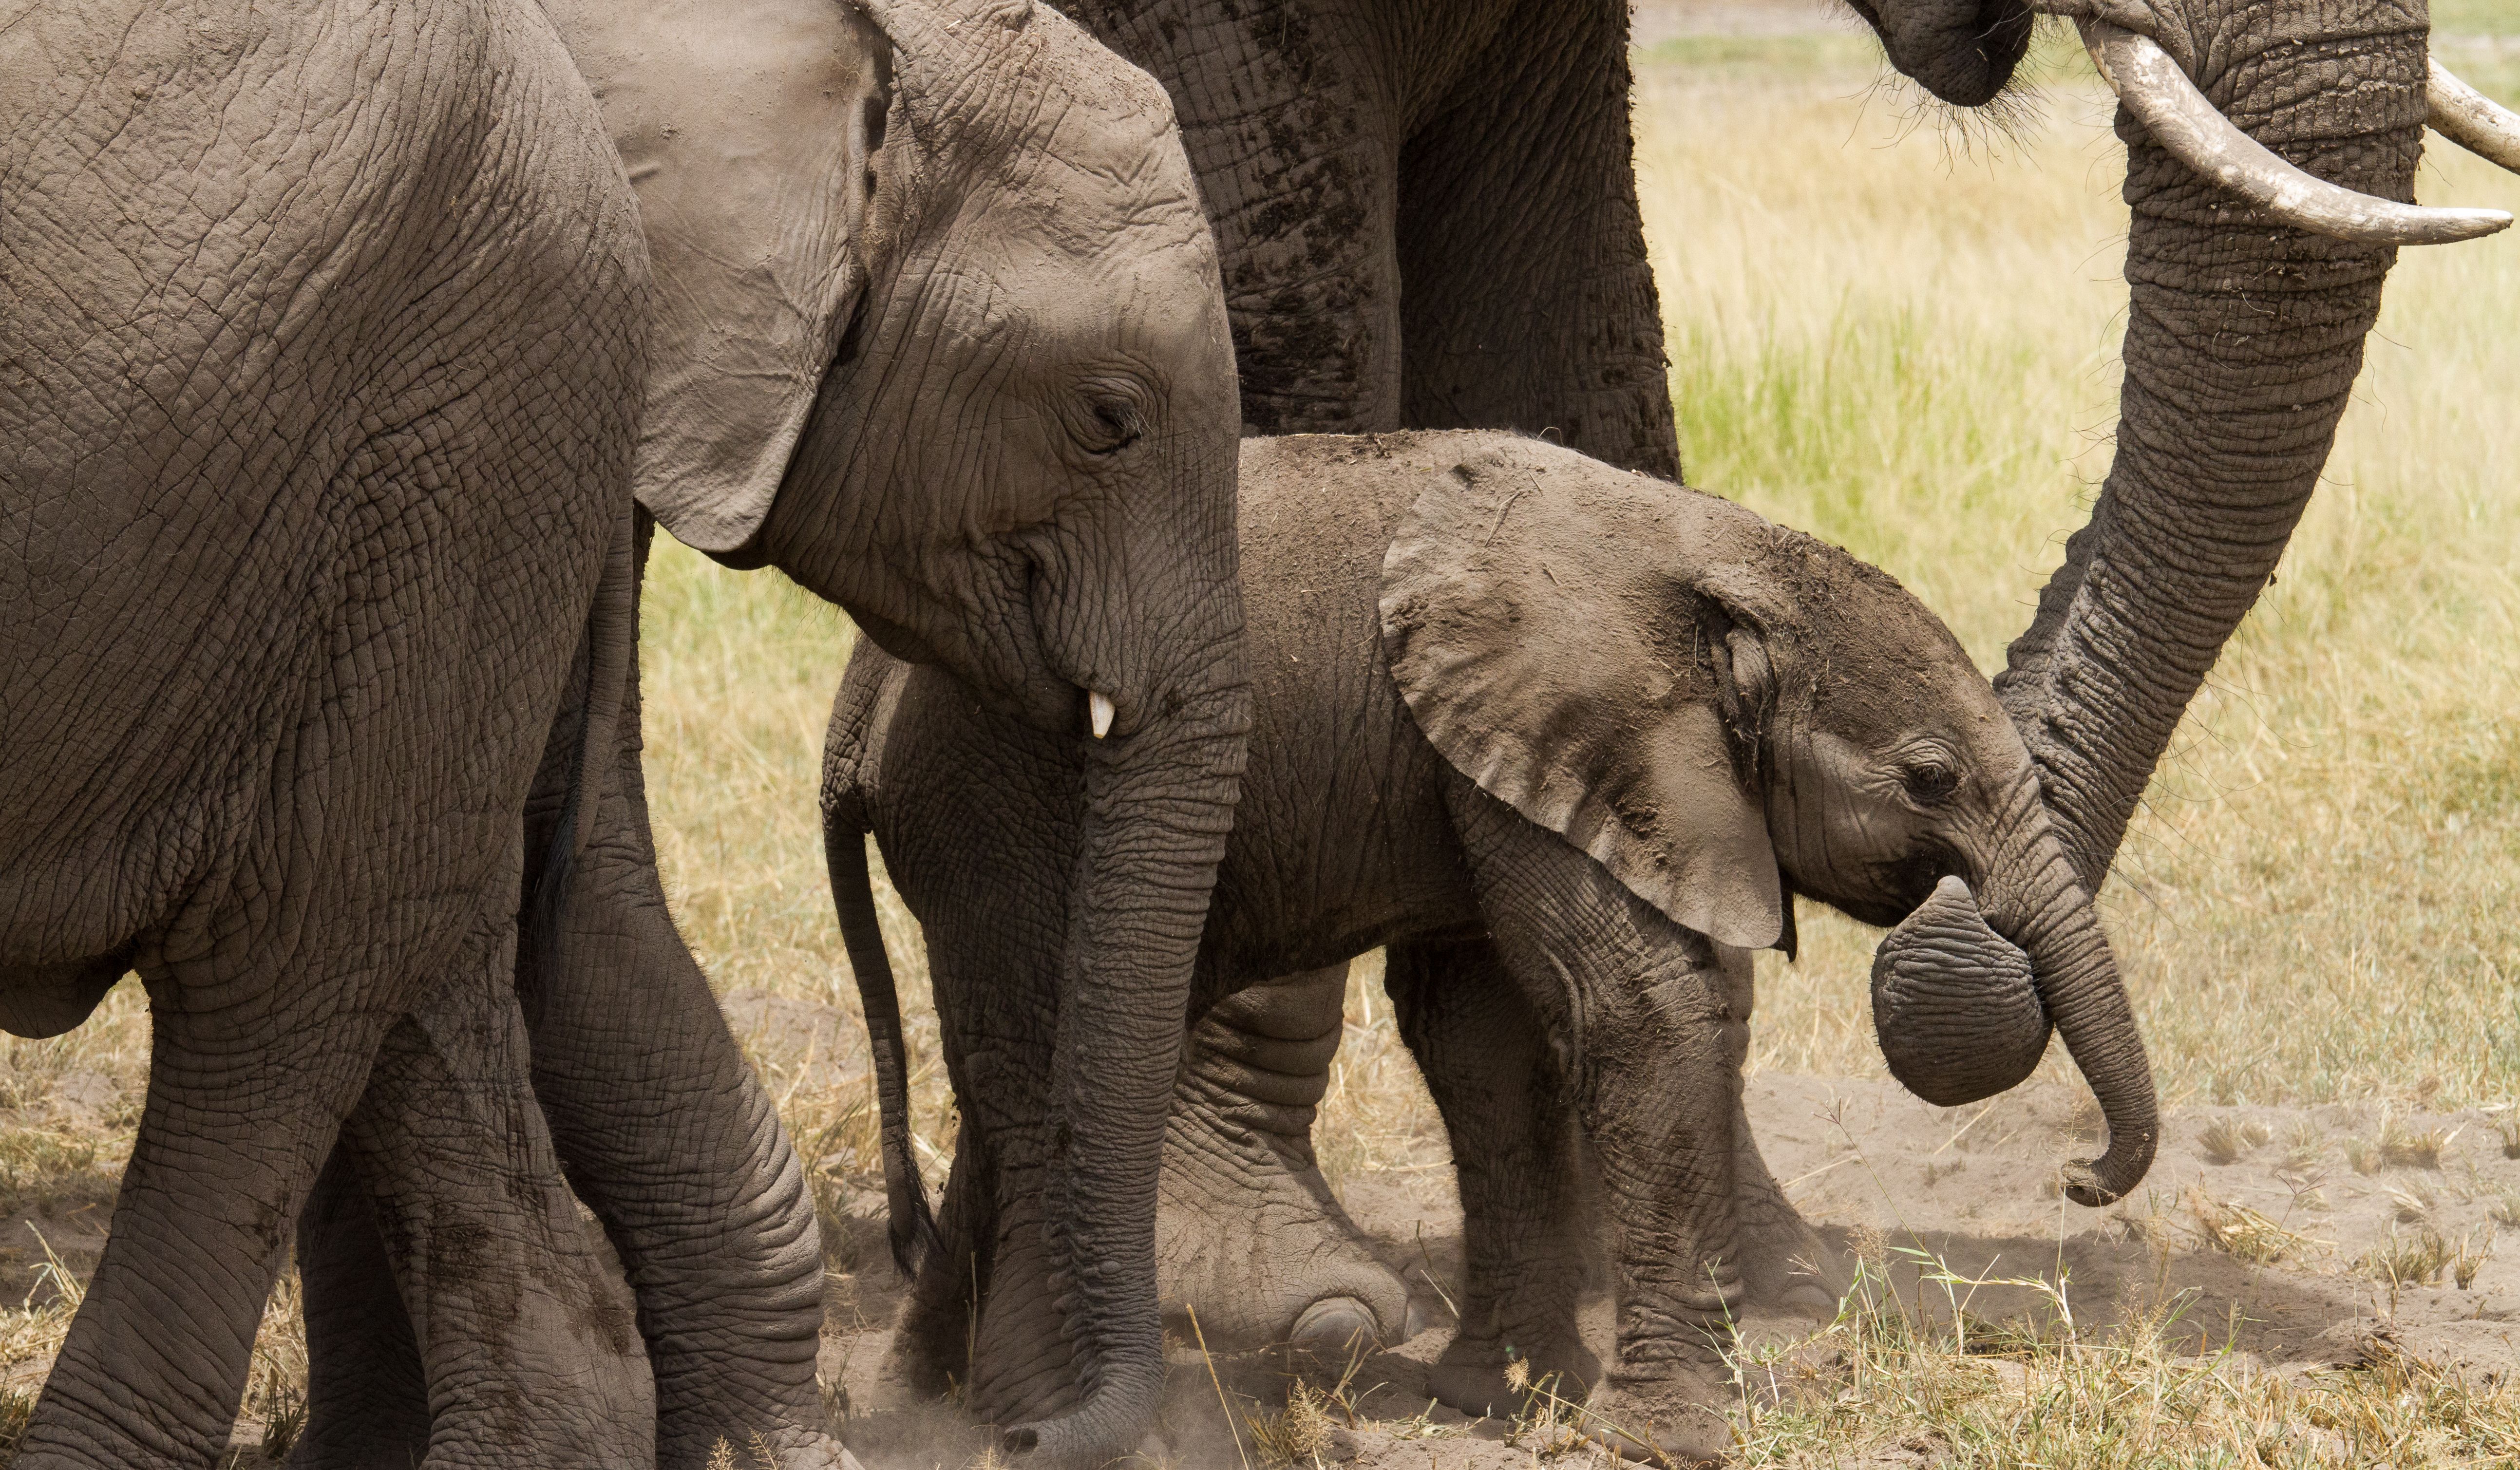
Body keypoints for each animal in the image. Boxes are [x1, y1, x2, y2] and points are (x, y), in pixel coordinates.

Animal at [824, 431, 2159, 1463]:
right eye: (1930, 779)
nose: (2081, 1177)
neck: (1712, 552)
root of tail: (854, 708)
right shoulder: (1571, 732)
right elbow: (1638, 1007)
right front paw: (1664, 1441)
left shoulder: (1490, 755)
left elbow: (1490, 1036)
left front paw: (1511, 1395)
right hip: (997, 798)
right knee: (1033, 1055)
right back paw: (1031, 1420)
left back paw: (929, 1404)